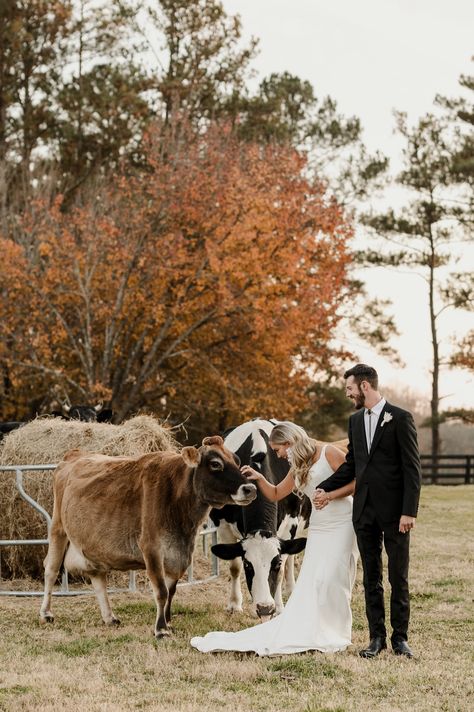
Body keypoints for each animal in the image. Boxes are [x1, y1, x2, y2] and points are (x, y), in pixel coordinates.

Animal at [39, 436, 256, 636]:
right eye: (215, 463)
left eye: (237, 460)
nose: (251, 488)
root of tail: (74, 455)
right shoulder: (151, 548)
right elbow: (161, 591)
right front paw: (160, 629)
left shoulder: (179, 554)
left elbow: (171, 591)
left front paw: (168, 622)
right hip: (58, 527)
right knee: (51, 569)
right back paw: (46, 613)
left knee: (97, 576)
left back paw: (109, 617)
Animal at [211, 420, 312, 620]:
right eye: (248, 565)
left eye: (275, 563)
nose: (265, 608)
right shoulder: (223, 525)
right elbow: (234, 567)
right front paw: (234, 604)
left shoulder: (290, 524)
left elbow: (282, 569)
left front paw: (279, 608)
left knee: (291, 558)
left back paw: (291, 589)